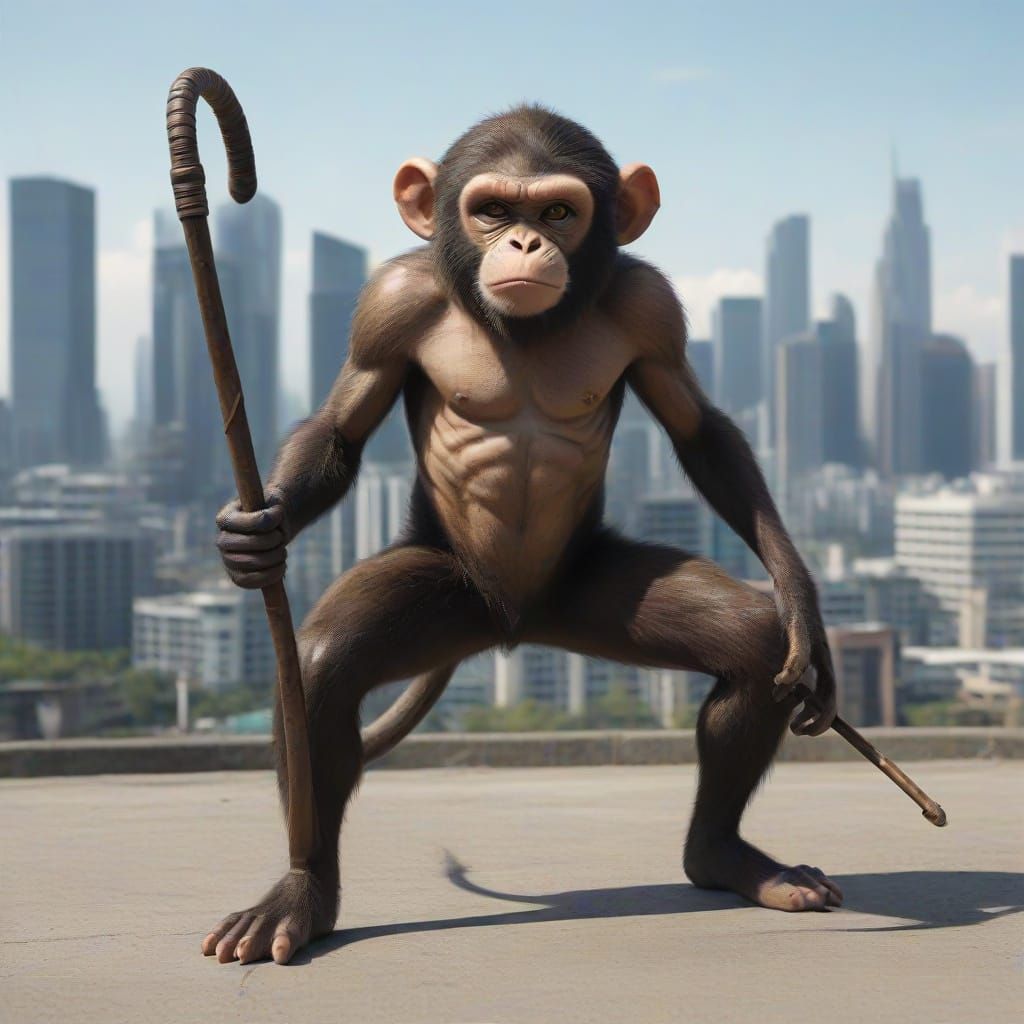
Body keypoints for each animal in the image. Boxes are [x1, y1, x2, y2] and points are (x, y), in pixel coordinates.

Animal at [204, 105, 841, 966]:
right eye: (495, 210)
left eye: (559, 212)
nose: (527, 245)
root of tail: (514, 625)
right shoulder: (389, 303)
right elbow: (341, 425)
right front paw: (255, 535)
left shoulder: (651, 306)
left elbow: (700, 431)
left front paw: (802, 601)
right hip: (452, 590)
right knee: (320, 672)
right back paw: (304, 892)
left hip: (584, 591)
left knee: (748, 644)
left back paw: (724, 856)